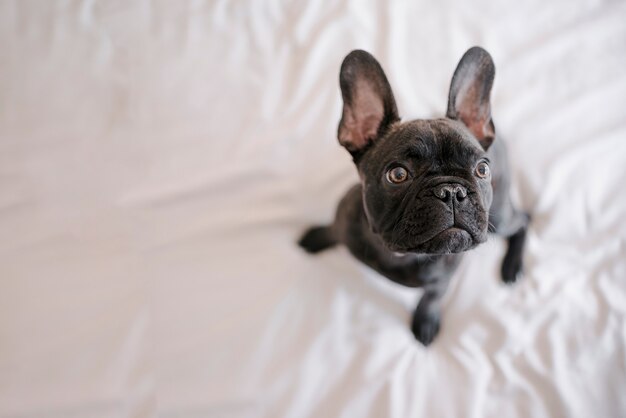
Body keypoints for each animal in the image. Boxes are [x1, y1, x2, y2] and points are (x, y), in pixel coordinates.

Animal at [298, 47, 528, 344]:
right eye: (397, 174)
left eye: (482, 169)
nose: (451, 191)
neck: (401, 255)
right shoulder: (345, 223)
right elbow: (334, 229)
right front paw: (318, 237)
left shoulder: (442, 281)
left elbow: (431, 298)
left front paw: (425, 321)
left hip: (498, 217)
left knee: (523, 221)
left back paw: (512, 267)